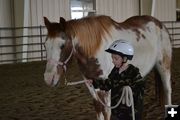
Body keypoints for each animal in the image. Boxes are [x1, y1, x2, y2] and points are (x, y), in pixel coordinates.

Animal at [43, 15, 172, 120]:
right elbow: (98, 109)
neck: (95, 49)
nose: (48, 78)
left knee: (167, 90)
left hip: (164, 67)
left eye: (62, 45)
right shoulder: (91, 85)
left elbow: (107, 112)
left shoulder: (107, 88)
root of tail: (160, 25)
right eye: (45, 45)